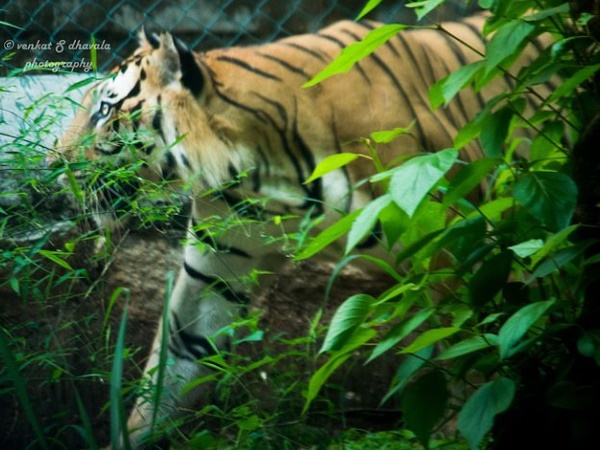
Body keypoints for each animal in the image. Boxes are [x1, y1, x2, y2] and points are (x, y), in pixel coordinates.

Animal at [49, 12, 556, 448]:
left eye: (104, 110)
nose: (54, 165)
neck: (254, 170)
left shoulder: (457, 247)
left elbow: (469, 354)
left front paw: (459, 436)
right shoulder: (214, 271)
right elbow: (175, 362)